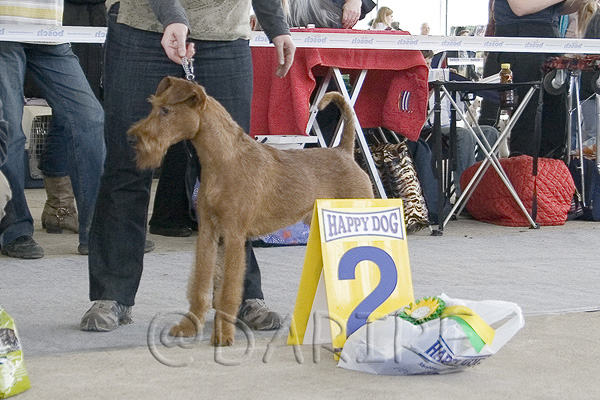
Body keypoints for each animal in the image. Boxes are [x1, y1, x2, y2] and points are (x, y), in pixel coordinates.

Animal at [128, 76, 372, 346]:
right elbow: (200, 285)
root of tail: (345, 152)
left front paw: (223, 334)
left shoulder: (234, 236)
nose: (132, 139)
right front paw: (189, 326)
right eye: (154, 106)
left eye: (166, 110)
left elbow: (228, 292)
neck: (223, 160)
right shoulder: (208, 233)